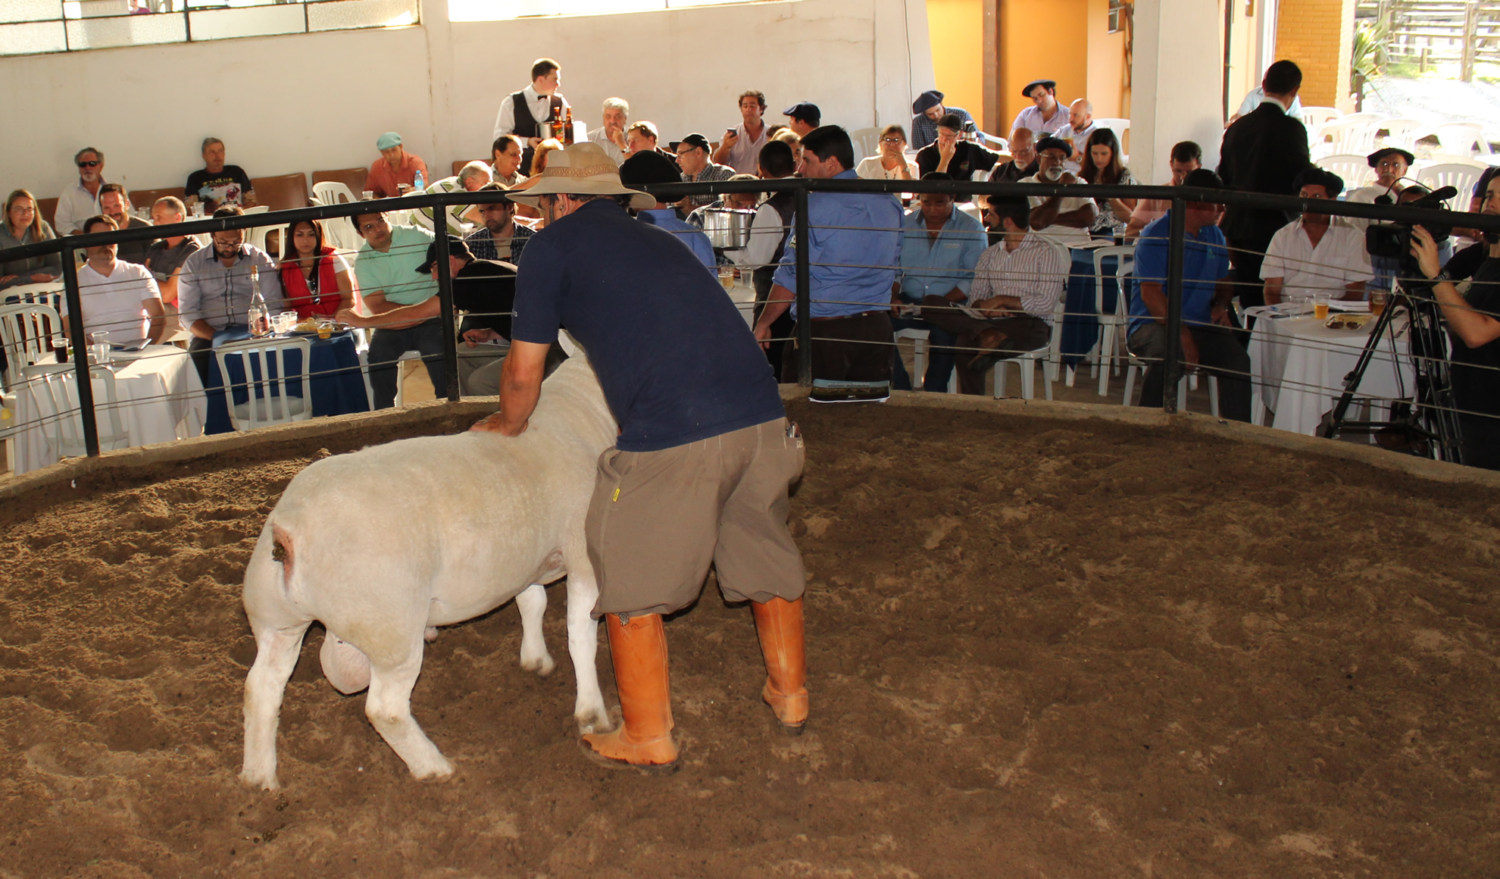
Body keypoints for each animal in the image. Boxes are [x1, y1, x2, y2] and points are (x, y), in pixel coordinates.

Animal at [237, 351, 612, 786]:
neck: (584, 409)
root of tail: (290, 530)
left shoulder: (522, 557)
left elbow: (531, 603)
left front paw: (535, 659)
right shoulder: (583, 555)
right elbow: (580, 637)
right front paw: (592, 714)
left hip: (275, 619)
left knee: (261, 688)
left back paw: (259, 778)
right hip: (390, 630)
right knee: (385, 710)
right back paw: (434, 767)